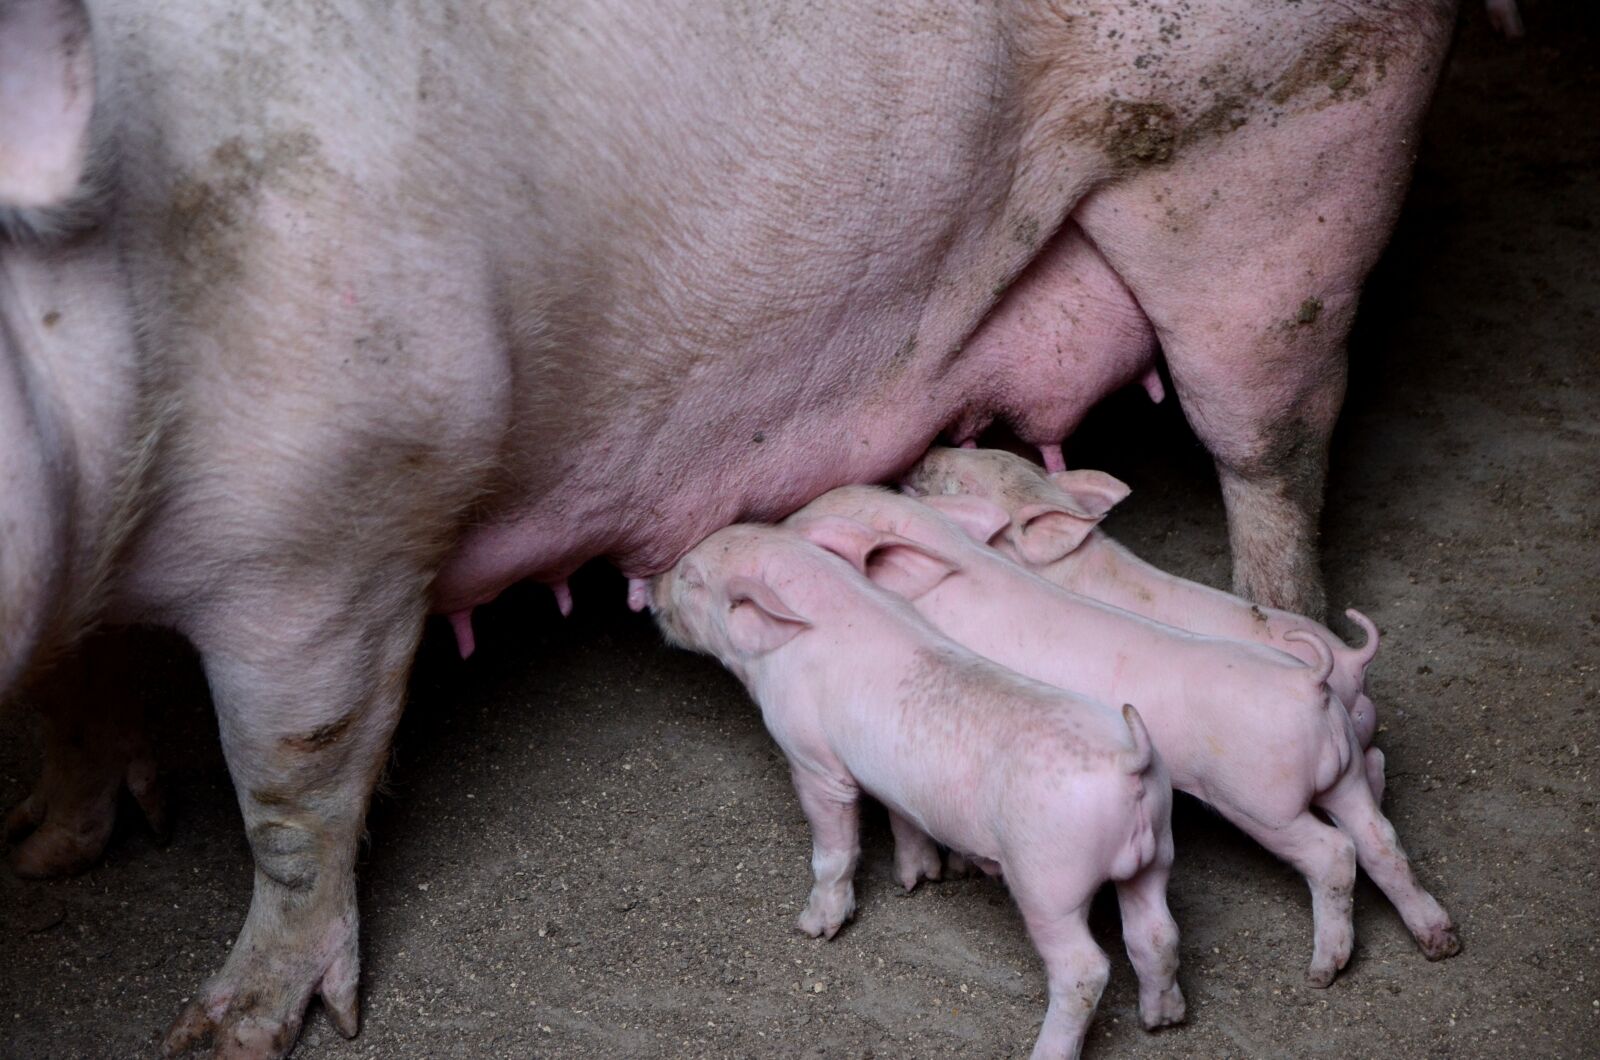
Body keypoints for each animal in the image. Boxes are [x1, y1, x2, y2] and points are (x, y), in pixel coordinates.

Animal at [652, 522, 1184, 1059]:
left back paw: (1048, 1050)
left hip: (1050, 880)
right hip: (1159, 844)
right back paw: (1162, 1021)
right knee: (1157, 933)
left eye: (692, 577)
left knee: (1084, 970)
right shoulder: (893, 778)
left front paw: (813, 929)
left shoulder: (813, 758)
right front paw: (915, 881)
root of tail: (1129, 759)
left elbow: (833, 849)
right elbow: (901, 817)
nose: (652, 589)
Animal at [786, 487, 1459, 986]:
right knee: (1380, 839)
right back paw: (1441, 941)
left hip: (1265, 800)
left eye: (817, 524)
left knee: (1334, 853)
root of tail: (1311, 681)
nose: (779, 518)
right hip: (1340, 773)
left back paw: (1322, 972)